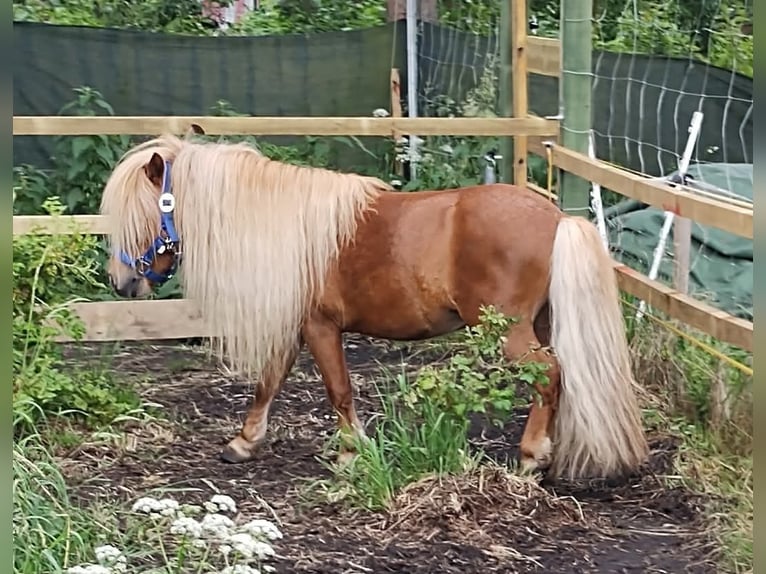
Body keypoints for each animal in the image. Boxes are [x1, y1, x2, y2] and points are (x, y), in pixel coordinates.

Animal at [100, 129, 648, 482]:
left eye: (141, 215)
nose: (123, 283)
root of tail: (557, 218)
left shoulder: (320, 328)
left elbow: (338, 391)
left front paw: (350, 454)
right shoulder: (295, 326)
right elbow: (269, 382)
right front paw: (244, 441)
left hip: (510, 332)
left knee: (549, 375)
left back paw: (533, 456)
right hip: (543, 323)